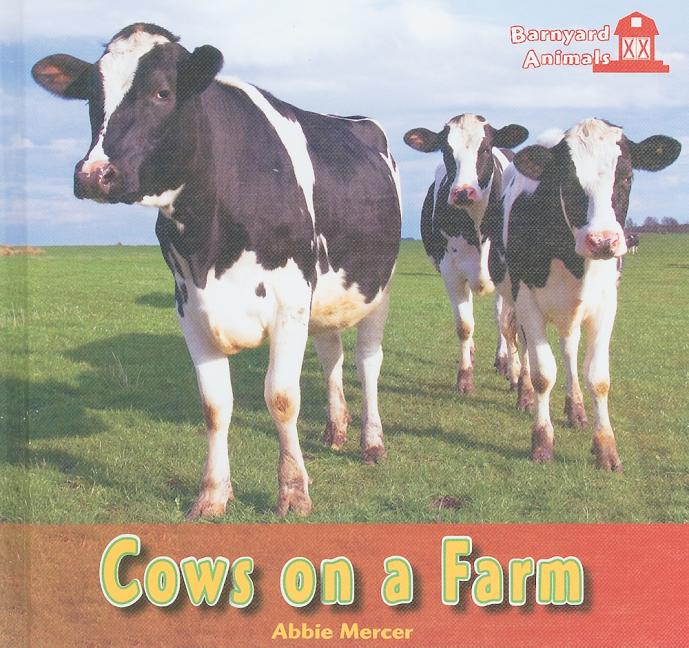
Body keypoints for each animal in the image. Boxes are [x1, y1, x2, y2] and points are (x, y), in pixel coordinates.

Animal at [31, 23, 402, 518]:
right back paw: (336, 430)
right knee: (331, 357)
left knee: (368, 362)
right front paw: (211, 494)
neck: (210, 234)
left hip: (379, 288)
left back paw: (371, 442)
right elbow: (214, 406)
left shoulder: (288, 304)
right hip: (326, 296)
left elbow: (282, 398)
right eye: (93, 94)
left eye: (162, 92)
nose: (94, 174)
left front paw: (293, 492)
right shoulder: (190, 307)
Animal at [403, 115, 528, 393]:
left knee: (500, 319)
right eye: (446, 151)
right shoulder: (451, 271)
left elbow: (510, 327)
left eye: (485, 149)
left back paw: (504, 361)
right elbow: (464, 325)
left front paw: (516, 376)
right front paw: (464, 377)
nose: (462, 192)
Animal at [500, 118, 680, 470]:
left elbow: (598, 377)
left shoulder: (607, 304)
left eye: (627, 176)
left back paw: (576, 408)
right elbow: (542, 373)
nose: (603, 241)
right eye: (568, 181)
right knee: (525, 349)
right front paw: (542, 442)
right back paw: (524, 395)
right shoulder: (527, 300)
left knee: (569, 350)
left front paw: (606, 447)